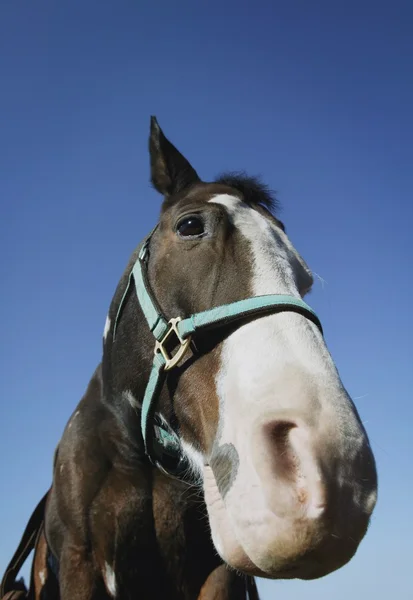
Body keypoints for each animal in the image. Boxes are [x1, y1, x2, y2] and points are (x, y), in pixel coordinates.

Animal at [0, 118, 376, 600]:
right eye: (191, 225)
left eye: (304, 278)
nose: (332, 466)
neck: (137, 458)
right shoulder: (79, 563)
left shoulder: (217, 574)